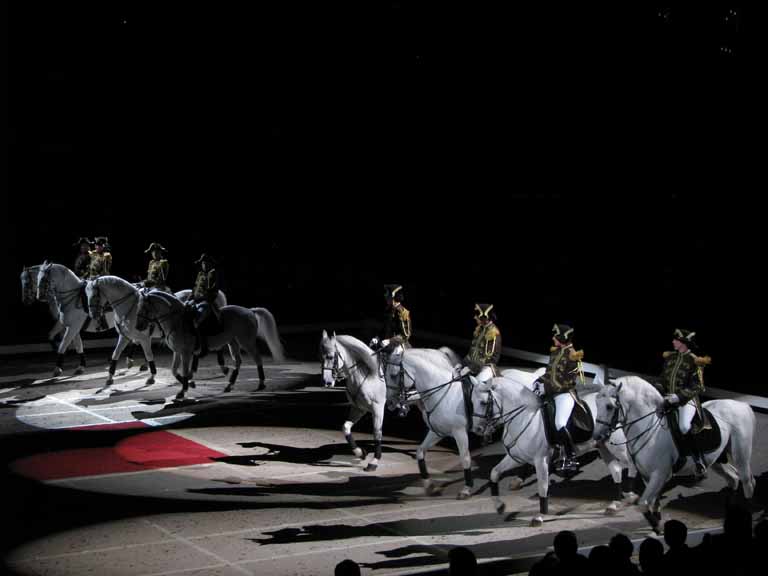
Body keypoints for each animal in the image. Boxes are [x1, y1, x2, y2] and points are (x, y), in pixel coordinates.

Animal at [135, 290, 284, 398]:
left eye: (144, 308)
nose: (138, 326)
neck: (177, 321)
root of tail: (250, 311)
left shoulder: (185, 353)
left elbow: (183, 371)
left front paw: (183, 391)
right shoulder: (177, 352)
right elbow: (173, 370)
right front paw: (190, 383)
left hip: (246, 342)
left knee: (257, 359)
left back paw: (261, 383)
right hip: (233, 342)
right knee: (238, 361)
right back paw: (229, 385)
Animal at [320, 332, 388, 472]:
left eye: (330, 357)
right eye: (321, 357)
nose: (326, 382)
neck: (367, 373)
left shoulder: (378, 408)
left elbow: (377, 432)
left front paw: (374, 461)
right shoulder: (359, 408)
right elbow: (346, 427)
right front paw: (360, 453)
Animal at [472, 374, 640, 528]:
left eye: (483, 402)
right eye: (471, 402)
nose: (477, 430)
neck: (524, 417)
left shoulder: (540, 461)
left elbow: (543, 487)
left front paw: (539, 516)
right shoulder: (515, 458)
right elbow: (494, 473)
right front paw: (499, 505)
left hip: (617, 447)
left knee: (632, 464)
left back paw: (631, 495)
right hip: (603, 447)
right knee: (617, 470)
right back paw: (614, 504)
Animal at [592, 376, 756, 532]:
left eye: (609, 406)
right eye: (597, 403)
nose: (597, 436)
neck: (649, 427)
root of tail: (742, 405)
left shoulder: (659, 474)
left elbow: (643, 504)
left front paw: (657, 527)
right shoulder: (648, 476)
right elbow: (653, 502)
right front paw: (656, 523)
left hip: (741, 455)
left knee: (747, 482)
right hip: (717, 461)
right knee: (733, 478)